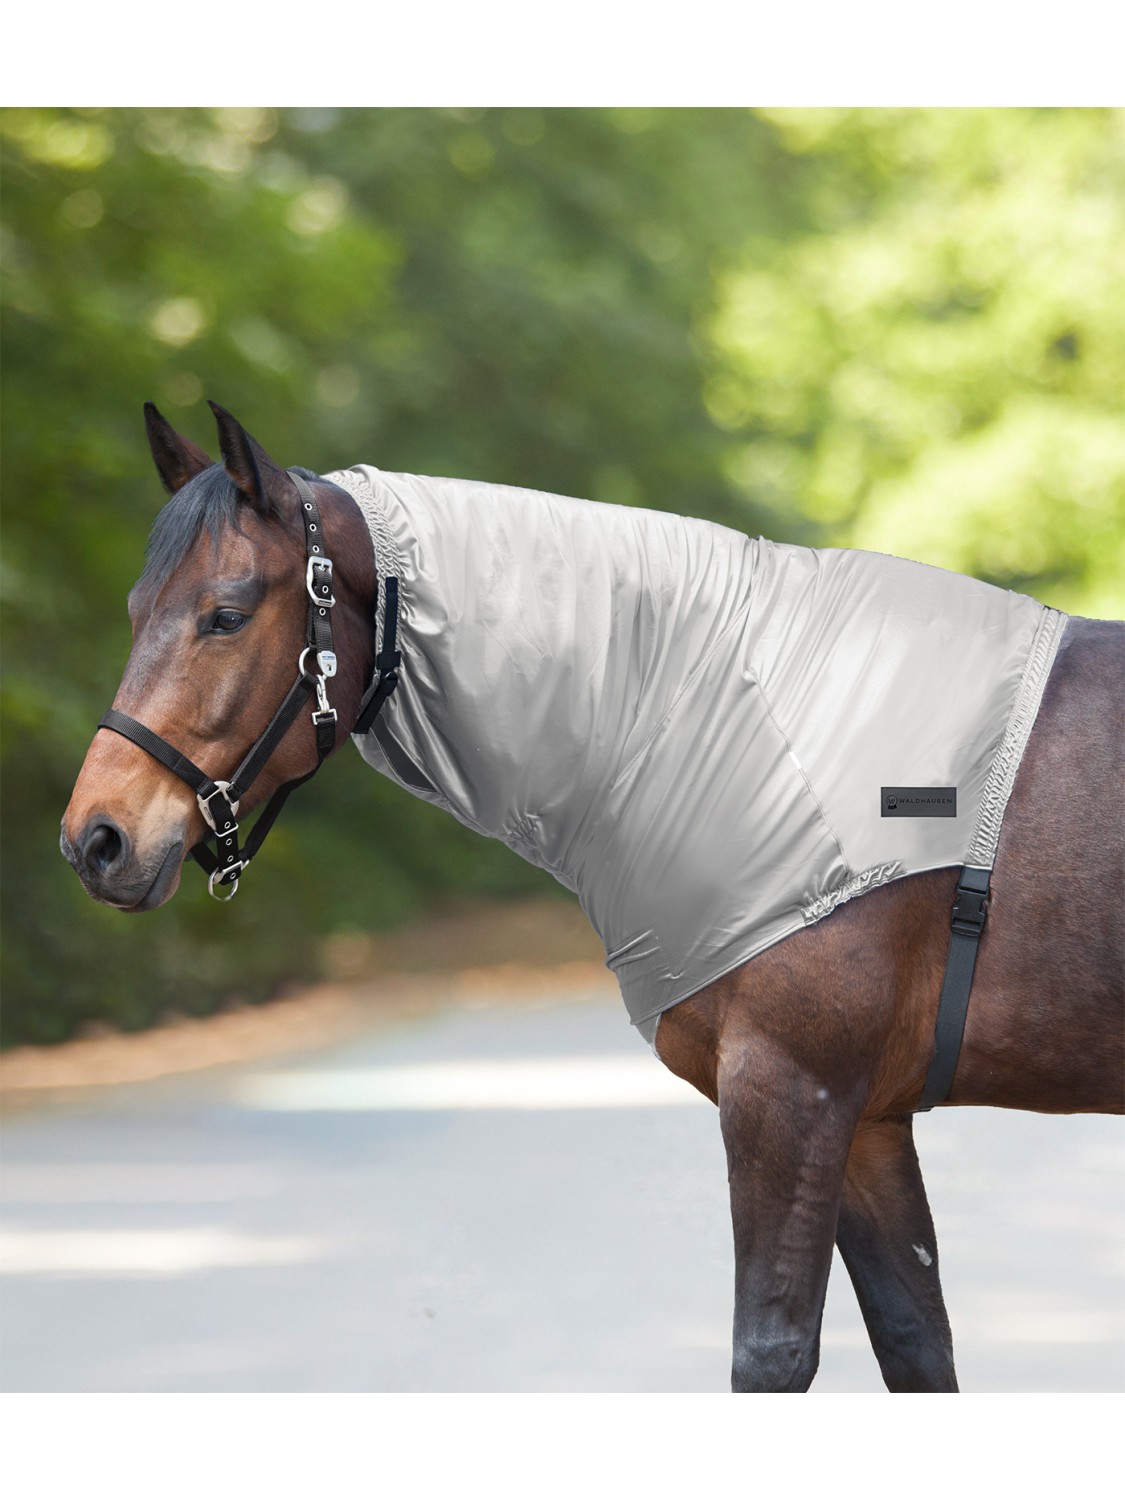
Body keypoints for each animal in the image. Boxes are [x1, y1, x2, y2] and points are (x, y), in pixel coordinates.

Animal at [61, 402, 1124, 1392]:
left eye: (227, 613)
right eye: (135, 608)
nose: (96, 840)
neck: (733, 711)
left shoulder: (791, 1094)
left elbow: (770, 1354)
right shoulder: (865, 1120)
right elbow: (915, 1344)